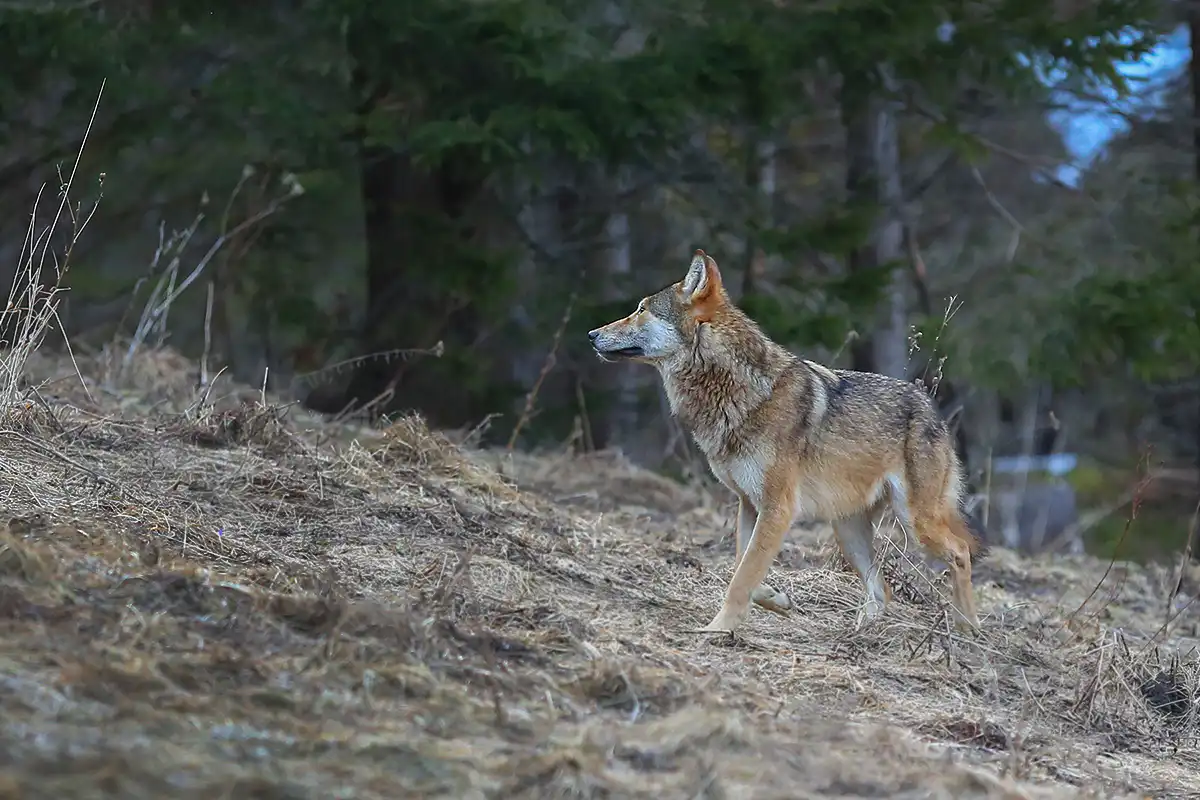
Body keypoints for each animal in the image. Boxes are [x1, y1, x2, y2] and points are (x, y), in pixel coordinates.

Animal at [587, 249, 983, 634]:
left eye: (641, 309)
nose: (591, 334)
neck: (736, 390)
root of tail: (931, 408)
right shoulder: (749, 504)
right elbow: (743, 567)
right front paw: (777, 601)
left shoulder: (778, 508)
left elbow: (742, 578)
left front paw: (716, 631)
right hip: (847, 530)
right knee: (882, 589)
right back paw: (860, 634)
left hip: (916, 523)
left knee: (961, 551)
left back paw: (968, 631)